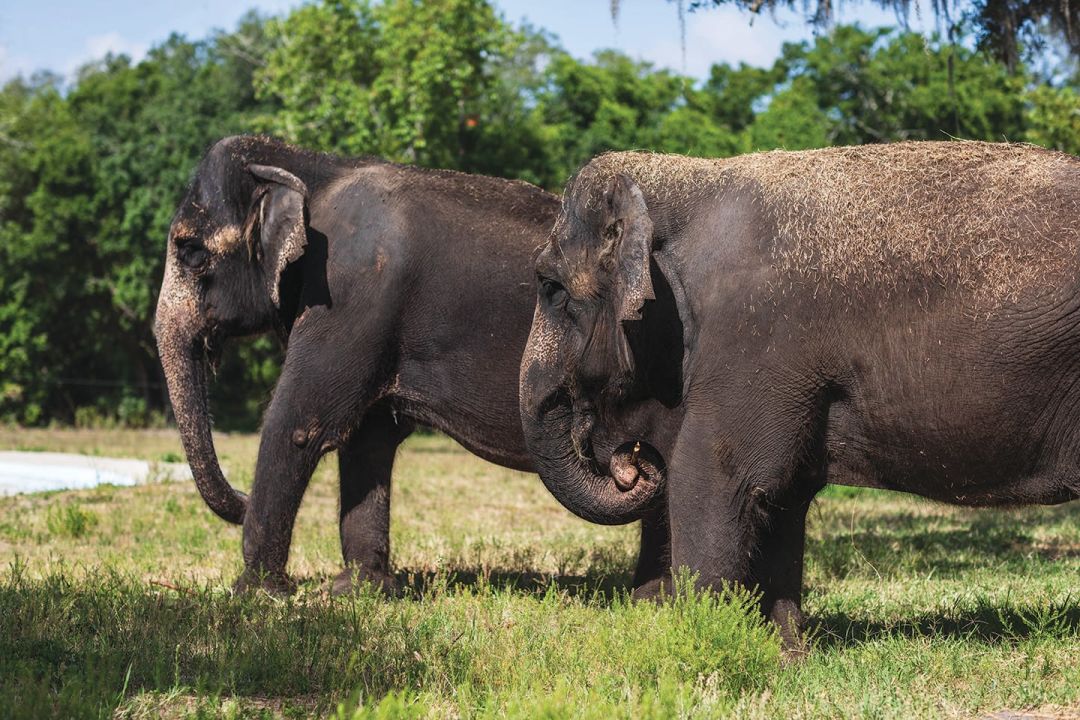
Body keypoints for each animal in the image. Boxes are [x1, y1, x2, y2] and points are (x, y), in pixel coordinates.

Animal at [155, 134, 669, 595]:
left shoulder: (351, 292)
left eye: (190, 251)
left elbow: (298, 424)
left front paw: (257, 596)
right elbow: (367, 439)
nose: (240, 499)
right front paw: (359, 591)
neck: (317, 167)